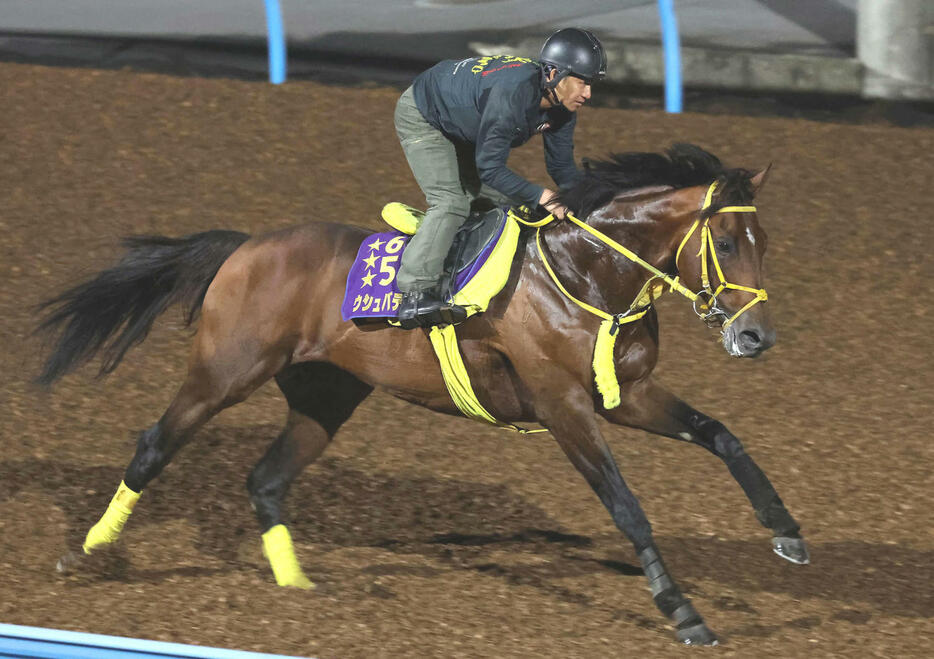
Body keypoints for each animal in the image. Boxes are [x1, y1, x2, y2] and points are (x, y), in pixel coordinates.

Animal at [36, 144, 808, 644]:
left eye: (766, 240)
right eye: (727, 243)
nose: (755, 336)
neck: (584, 272)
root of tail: (246, 245)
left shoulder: (628, 393)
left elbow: (720, 434)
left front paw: (787, 531)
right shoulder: (563, 405)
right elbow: (627, 507)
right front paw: (683, 610)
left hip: (327, 394)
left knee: (265, 478)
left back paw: (297, 592)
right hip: (224, 372)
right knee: (155, 444)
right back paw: (88, 552)